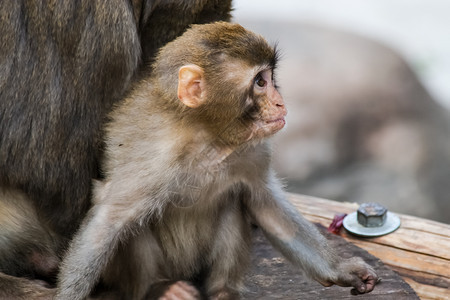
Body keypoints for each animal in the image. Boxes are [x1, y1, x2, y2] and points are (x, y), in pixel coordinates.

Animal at [57, 22, 380, 298]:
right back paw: (159, 288)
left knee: (234, 200)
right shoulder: (153, 160)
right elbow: (109, 220)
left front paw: (340, 271)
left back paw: (223, 290)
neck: (208, 139)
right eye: (260, 82)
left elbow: (266, 206)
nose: (280, 102)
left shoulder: (253, 151)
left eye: (270, 78)